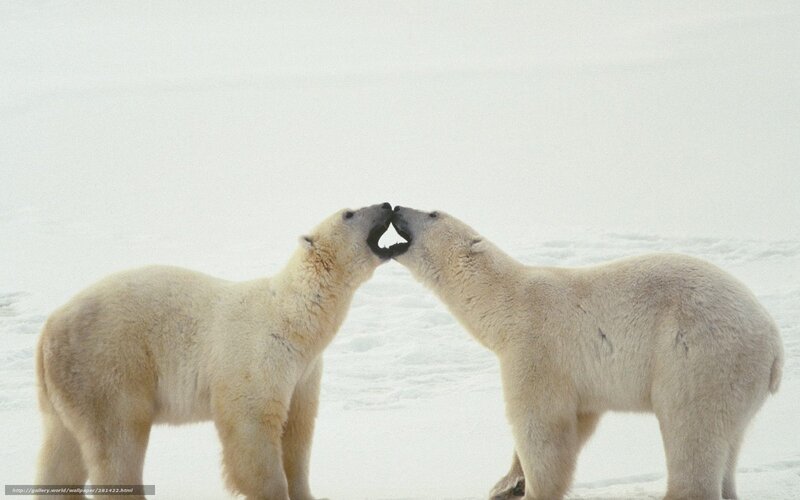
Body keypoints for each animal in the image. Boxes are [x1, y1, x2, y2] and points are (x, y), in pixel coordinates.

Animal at [35, 202, 395, 500]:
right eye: (349, 213)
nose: (386, 204)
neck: (293, 317)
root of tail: (48, 328)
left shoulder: (305, 372)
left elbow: (297, 431)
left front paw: (306, 492)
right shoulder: (257, 357)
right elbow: (253, 428)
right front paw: (272, 491)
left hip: (67, 388)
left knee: (61, 452)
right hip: (107, 367)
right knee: (118, 441)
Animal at [390, 205, 784, 500]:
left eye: (433, 213)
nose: (396, 208)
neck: (507, 303)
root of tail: (774, 343)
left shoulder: (536, 348)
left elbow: (541, 425)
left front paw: (532, 490)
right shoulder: (581, 378)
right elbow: (579, 420)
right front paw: (506, 483)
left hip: (700, 358)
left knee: (691, 431)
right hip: (736, 383)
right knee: (729, 443)